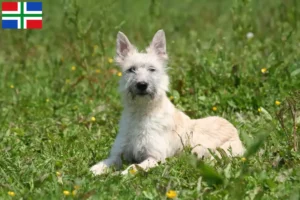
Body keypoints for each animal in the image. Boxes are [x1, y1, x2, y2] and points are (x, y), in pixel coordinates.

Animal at [90, 29, 245, 175]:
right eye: (131, 69)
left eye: (152, 69)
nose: (142, 85)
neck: (142, 112)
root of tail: (235, 130)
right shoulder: (118, 155)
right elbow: (104, 163)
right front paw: (94, 172)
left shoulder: (155, 157)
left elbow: (132, 167)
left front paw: (119, 175)